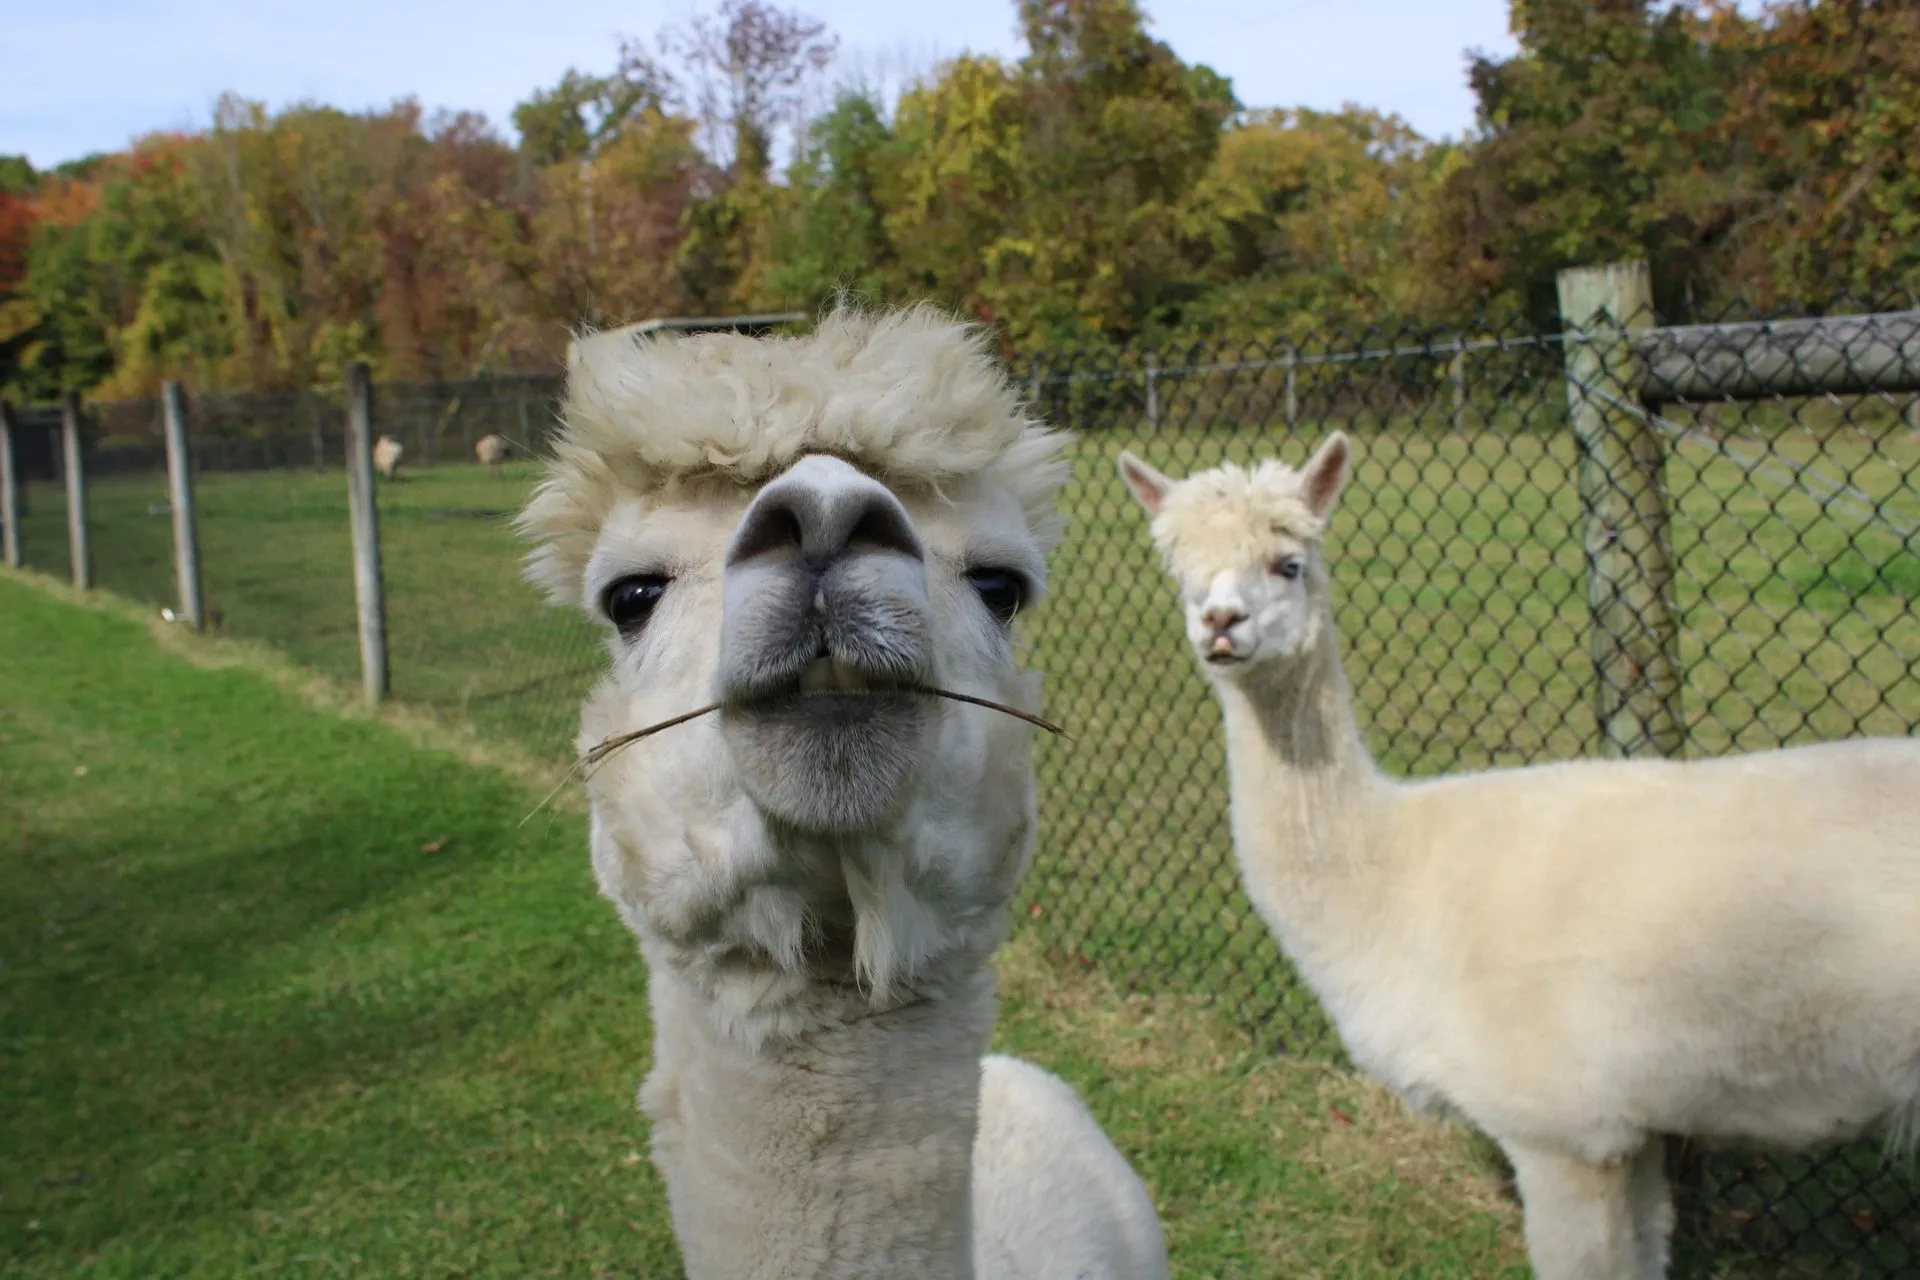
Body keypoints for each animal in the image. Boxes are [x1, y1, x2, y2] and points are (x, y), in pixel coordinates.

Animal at [1117, 431, 1920, 1280]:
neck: (1402, 887)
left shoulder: (1562, 1125)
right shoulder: (1626, 1131)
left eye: (1288, 563)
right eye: (1181, 570)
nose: (1220, 621)